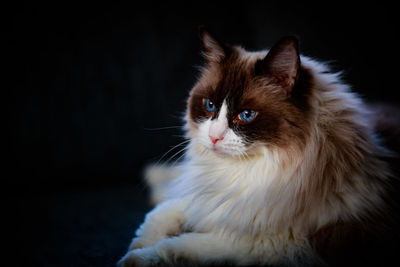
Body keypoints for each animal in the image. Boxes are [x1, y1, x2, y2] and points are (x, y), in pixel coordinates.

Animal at [118, 28, 400, 266]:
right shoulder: (216, 201)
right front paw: (136, 246)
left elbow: (175, 246)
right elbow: (160, 215)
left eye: (246, 115)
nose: (214, 137)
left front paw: (136, 258)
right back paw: (153, 176)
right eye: (210, 106)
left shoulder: (264, 243)